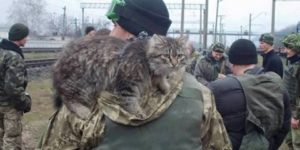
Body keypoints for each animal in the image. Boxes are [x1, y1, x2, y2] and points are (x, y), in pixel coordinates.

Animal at [51, 34, 188, 119]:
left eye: (179, 56)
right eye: (166, 56)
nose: (174, 63)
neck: (147, 61)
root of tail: (60, 58)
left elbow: (160, 79)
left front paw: (165, 85)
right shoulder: (126, 83)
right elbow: (130, 101)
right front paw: (138, 112)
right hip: (80, 82)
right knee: (67, 98)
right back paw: (82, 110)